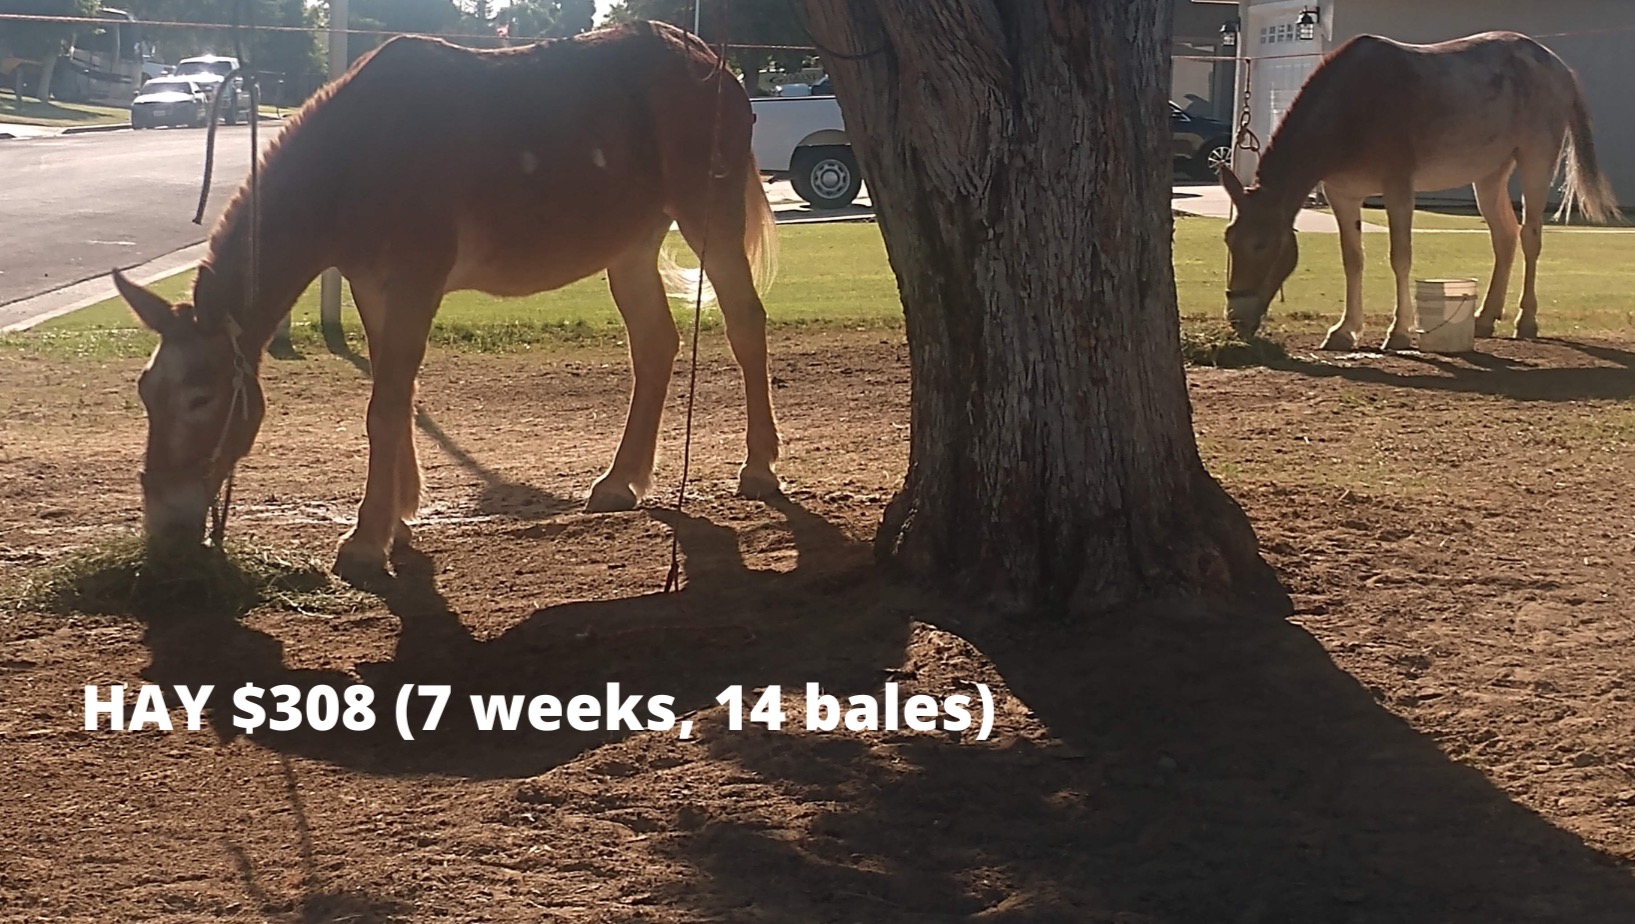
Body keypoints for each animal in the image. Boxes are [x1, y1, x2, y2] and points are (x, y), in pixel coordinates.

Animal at [110, 19, 782, 577]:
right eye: (146, 393)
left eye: (200, 398)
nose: (165, 527)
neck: (357, 152)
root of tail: (712, 64)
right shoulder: (372, 286)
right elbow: (396, 391)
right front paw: (400, 516)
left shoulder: (414, 281)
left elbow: (384, 405)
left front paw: (366, 539)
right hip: (631, 244)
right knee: (655, 346)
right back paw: (621, 481)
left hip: (708, 216)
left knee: (745, 323)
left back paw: (759, 466)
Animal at [1217, 30, 1620, 351]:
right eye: (1229, 241)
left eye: (1261, 245)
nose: (1236, 318)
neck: (1352, 106)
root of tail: (1556, 65)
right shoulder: (1342, 195)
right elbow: (1353, 259)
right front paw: (1345, 330)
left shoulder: (1397, 188)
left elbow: (1400, 256)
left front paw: (1399, 332)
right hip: (1489, 175)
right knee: (1504, 238)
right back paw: (1484, 319)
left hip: (1535, 159)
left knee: (1530, 237)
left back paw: (1526, 321)